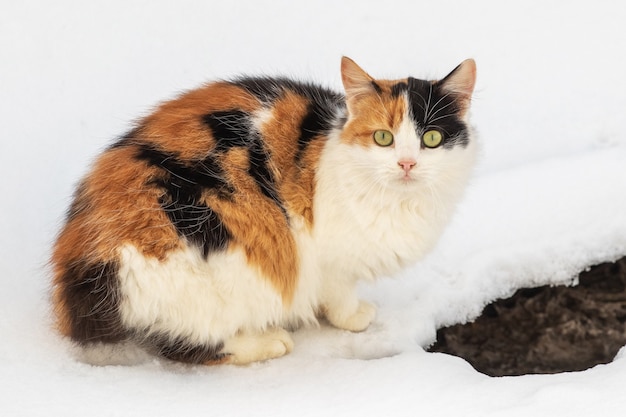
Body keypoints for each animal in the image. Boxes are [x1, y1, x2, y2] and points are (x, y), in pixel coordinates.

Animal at [51, 56, 476, 364]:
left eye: (432, 138)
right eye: (383, 138)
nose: (407, 164)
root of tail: (82, 265)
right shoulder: (329, 258)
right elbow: (339, 294)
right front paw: (355, 316)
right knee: (188, 346)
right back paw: (269, 342)